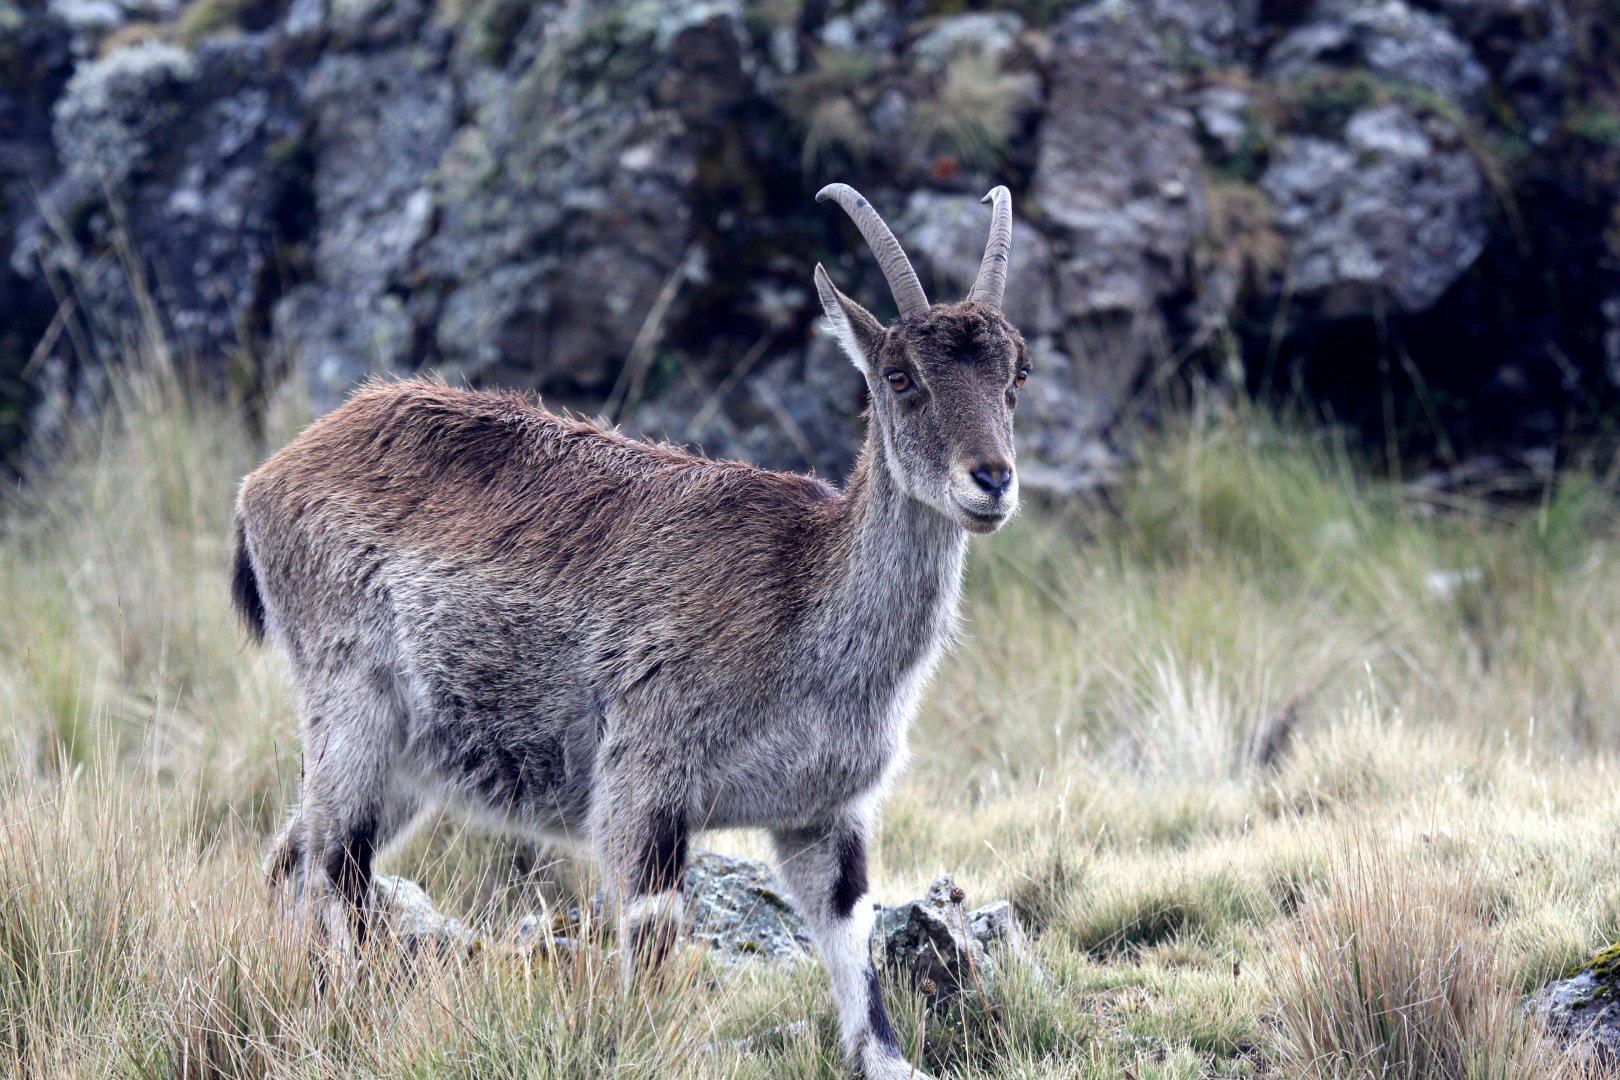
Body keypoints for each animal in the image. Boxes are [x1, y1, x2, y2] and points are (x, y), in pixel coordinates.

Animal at [232, 183, 1027, 1080]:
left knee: (293, 857)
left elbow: (855, 949)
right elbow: (649, 943)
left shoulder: (824, 814)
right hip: (350, 701)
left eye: (1018, 372)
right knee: (335, 865)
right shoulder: (644, 775)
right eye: (900, 376)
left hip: (407, 758)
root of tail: (268, 476)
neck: (805, 612)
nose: (991, 480)